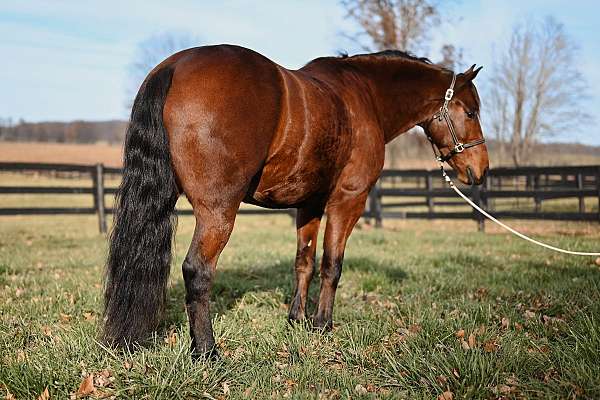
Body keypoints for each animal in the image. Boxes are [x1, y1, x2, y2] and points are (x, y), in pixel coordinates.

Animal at [102, 45, 488, 358]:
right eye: (470, 112)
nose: (481, 169)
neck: (365, 96)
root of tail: (175, 65)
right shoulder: (348, 200)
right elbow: (332, 264)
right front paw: (322, 323)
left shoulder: (309, 204)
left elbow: (304, 262)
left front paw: (296, 318)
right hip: (218, 213)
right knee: (197, 271)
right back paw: (208, 352)